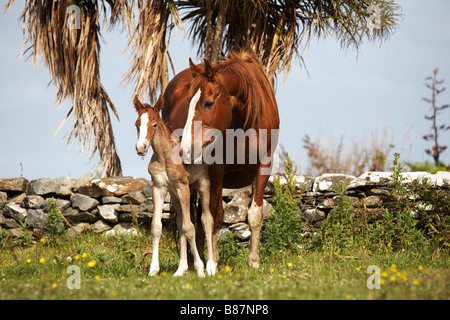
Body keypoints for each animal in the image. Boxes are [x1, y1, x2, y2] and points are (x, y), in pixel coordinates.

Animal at [132, 94, 216, 276]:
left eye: (154, 124)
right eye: (136, 124)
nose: (141, 148)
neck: (164, 157)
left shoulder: (182, 186)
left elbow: (190, 228)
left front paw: (200, 269)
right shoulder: (159, 188)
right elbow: (157, 226)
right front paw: (153, 269)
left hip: (201, 186)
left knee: (206, 219)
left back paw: (211, 266)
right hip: (177, 196)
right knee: (180, 222)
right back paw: (181, 269)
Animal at [160, 52, 280, 268]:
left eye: (208, 103)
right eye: (189, 103)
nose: (184, 149)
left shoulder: (264, 167)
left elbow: (255, 215)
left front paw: (253, 260)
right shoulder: (216, 171)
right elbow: (215, 215)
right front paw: (213, 260)